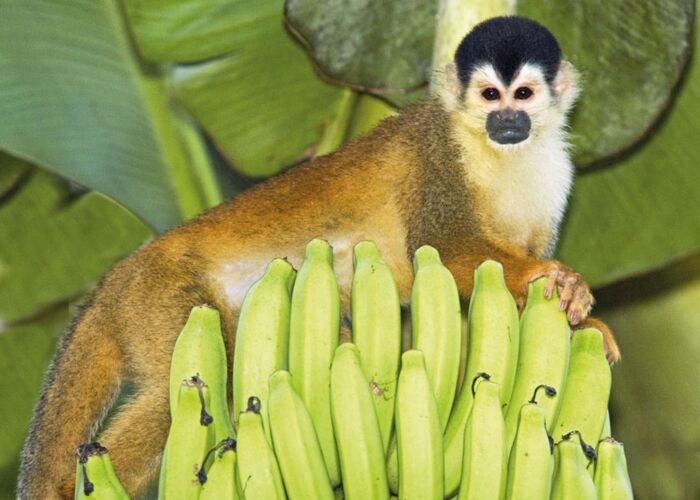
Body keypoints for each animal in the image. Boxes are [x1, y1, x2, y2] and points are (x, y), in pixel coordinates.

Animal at [18, 16, 620, 499]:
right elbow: (447, 249)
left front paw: (581, 319)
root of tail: (116, 277)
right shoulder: (438, 153)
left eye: (524, 94)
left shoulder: (556, 178)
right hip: (162, 296)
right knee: (190, 389)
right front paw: (556, 278)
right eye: (491, 96)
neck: (496, 151)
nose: (508, 122)